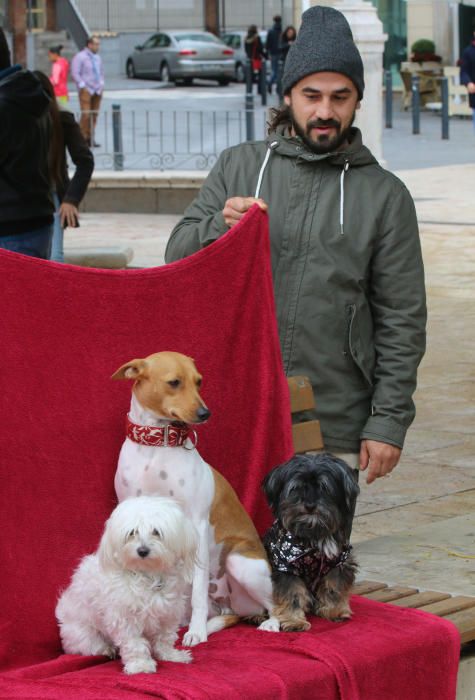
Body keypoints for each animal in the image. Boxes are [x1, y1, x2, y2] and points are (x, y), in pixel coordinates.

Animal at [56, 494, 198, 676]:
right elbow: (134, 644)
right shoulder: (124, 618)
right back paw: (107, 649)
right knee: (89, 645)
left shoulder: (168, 614)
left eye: (156, 532)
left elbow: (165, 638)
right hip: (82, 633)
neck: (148, 575)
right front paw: (140, 665)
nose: (142, 551)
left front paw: (171, 655)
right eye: (132, 532)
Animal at [111, 352, 278, 648]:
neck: (156, 449)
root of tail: (226, 604)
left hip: (241, 564)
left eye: (199, 381)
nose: (205, 413)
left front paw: (197, 632)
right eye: (174, 382)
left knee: (279, 604)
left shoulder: (196, 524)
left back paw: (271, 623)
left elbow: (199, 590)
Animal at [262, 452, 358, 632]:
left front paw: (334, 611)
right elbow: (292, 595)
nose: (310, 505)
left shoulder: (338, 563)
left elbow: (333, 588)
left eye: (324, 487)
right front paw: (294, 621)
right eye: (296, 488)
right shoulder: (286, 567)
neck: (313, 535)